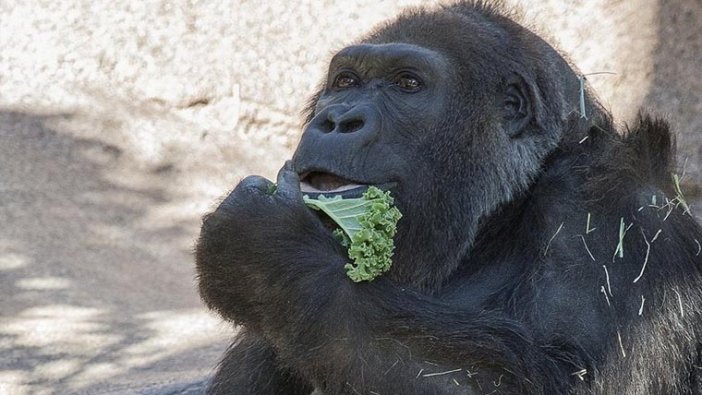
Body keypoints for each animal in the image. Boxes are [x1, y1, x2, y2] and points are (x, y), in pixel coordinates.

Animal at [195, 1, 702, 394]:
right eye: (345, 82)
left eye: (407, 84)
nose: (338, 120)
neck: (495, 226)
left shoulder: (616, 209)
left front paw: (266, 253)